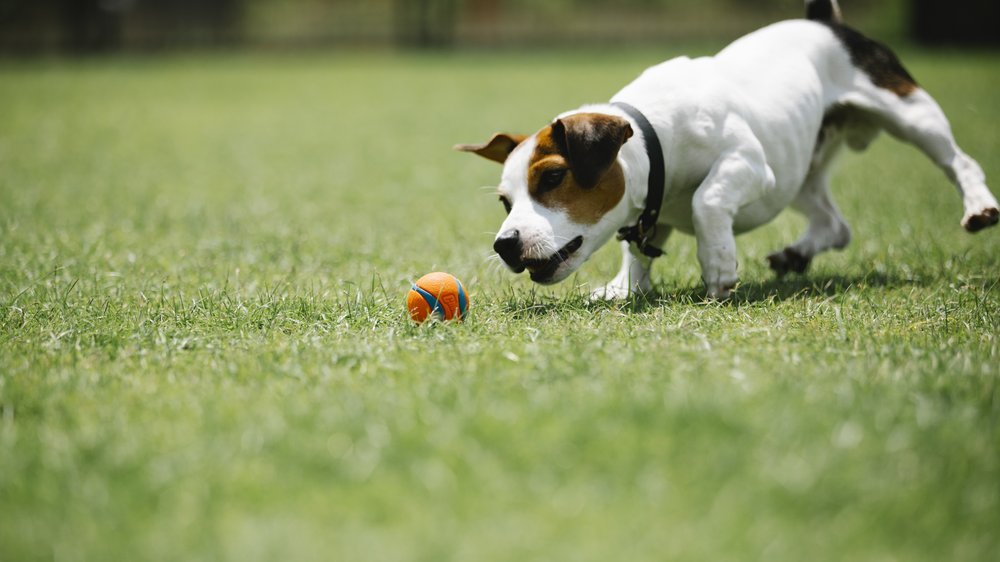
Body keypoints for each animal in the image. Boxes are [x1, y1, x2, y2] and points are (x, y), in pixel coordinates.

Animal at [458, 0, 996, 300]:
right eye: (505, 201)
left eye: (552, 178)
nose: (503, 245)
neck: (653, 137)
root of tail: (823, 21)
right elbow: (637, 245)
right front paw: (625, 286)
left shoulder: (749, 165)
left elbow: (707, 199)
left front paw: (717, 263)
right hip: (797, 171)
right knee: (835, 224)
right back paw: (797, 255)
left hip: (908, 113)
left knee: (959, 160)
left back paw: (979, 206)